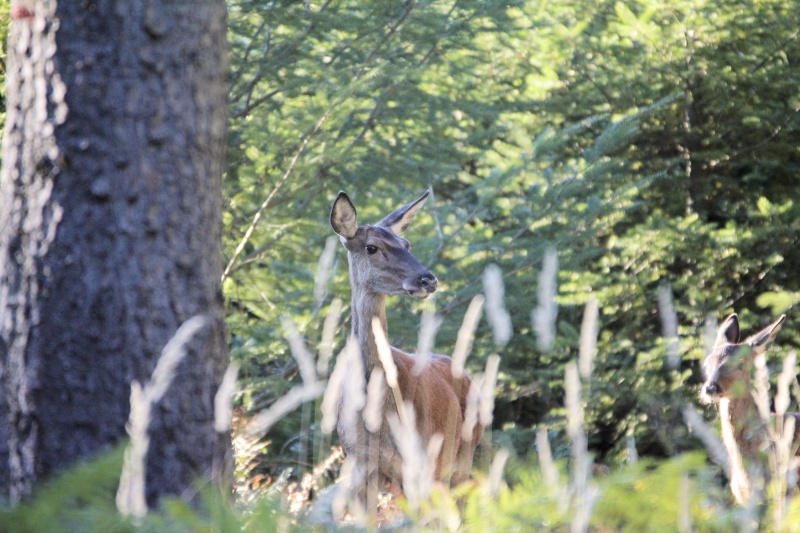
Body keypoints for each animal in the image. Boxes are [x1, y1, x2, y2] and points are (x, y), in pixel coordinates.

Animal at [326, 191, 478, 508]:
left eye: (406, 244)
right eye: (371, 247)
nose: (427, 279)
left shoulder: (420, 467)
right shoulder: (359, 469)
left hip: (461, 459)